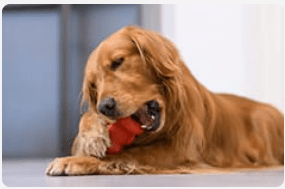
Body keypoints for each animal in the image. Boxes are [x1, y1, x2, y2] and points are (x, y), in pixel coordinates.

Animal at [45, 25, 282, 176]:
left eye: (118, 61)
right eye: (94, 85)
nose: (105, 107)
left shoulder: (181, 151)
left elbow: (126, 155)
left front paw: (75, 161)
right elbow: (89, 118)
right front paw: (92, 137)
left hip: (263, 119)